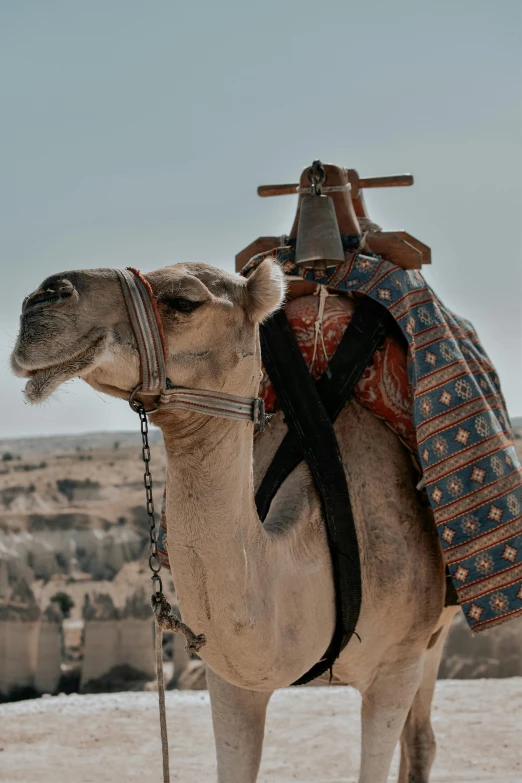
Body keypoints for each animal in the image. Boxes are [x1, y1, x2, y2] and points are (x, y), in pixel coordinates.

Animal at [11, 260, 460, 780]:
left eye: (184, 301)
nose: (41, 300)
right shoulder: (228, 679)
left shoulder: (396, 668)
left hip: (432, 636)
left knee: (421, 738)